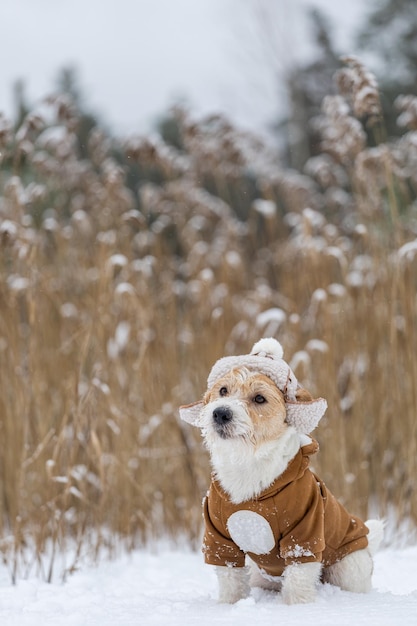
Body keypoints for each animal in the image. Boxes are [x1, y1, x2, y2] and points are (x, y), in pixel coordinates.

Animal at [180, 338, 384, 604]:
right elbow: (231, 580)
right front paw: (230, 605)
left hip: (347, 568)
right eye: (223, 390)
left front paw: (296, 607)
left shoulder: (305, 533)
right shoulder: (219, 538)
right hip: (261, 575)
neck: (248, 463)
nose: (220, 413)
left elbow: (298, 579)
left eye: (259, 398)